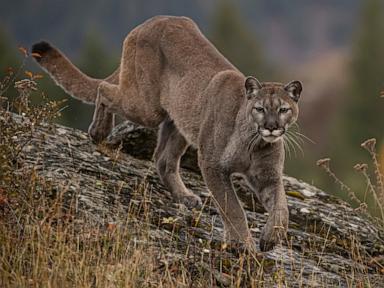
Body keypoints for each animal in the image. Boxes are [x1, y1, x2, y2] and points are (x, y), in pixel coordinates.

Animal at [32, 14, 304, 251]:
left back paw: (185, 196)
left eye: (283, 110)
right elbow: (232, 207)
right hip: (146, 107)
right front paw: (244, 245)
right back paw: (98, 132)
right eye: (259, 109)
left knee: (163, 160)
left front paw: (270, 238)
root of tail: (152, 21)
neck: (253, 142)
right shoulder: (213, 166)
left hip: (178, 122)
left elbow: (281, 206)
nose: (271, 126)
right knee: (104, 89)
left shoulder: (268, 176)